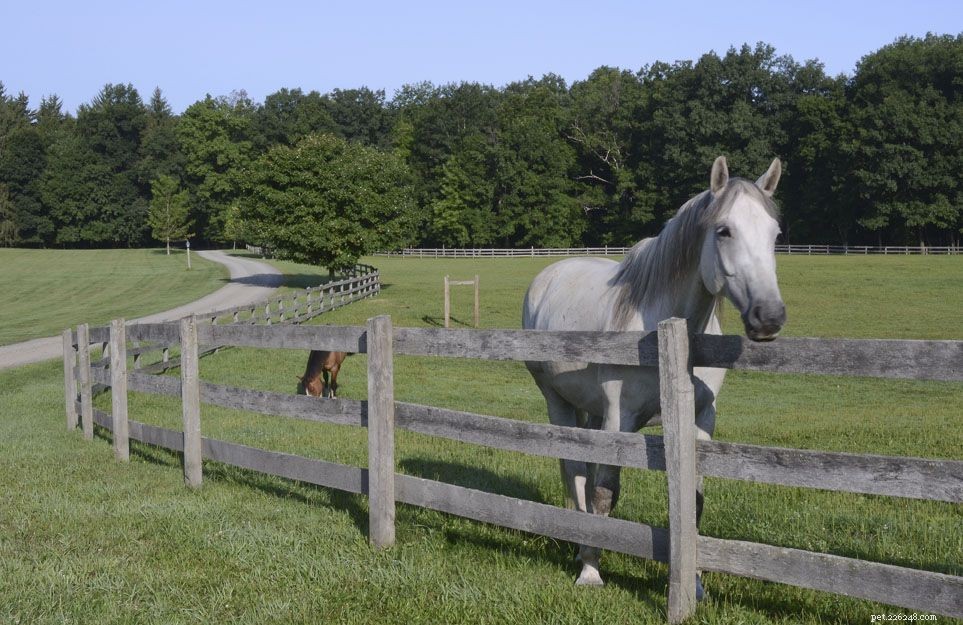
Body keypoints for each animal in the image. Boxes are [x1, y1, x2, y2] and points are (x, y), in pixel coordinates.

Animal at [522, 156, 786, 595]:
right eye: (724, 230)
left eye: (775, 234)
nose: (769, 316)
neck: (666, 330)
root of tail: (551, 273)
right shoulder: (620, 417)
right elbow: (604, 493)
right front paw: (591, 571)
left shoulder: (699, 420)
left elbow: (693, 501)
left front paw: (693, 583)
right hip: (557, 402)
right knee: (575, 471)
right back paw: (580, 548)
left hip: (591, 412)